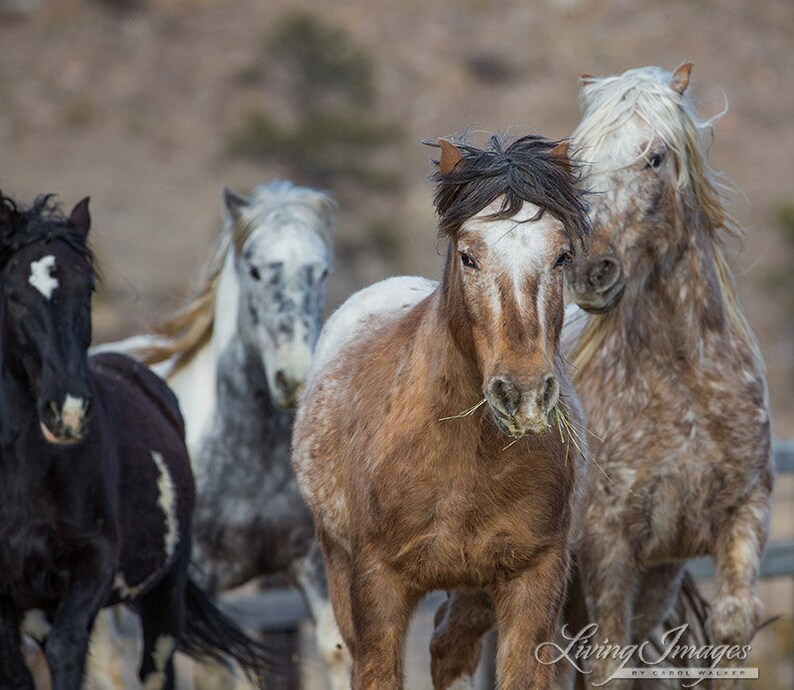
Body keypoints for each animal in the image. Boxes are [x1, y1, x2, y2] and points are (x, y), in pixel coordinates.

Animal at [0, 192, 275, 690]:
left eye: (87, 288)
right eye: (13, 295)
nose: (68, 410)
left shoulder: (93, 565)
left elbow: (68, 650)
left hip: (163, 595)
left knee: (154, 670)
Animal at [291, 134, 592, 690]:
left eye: (562, 255)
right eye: (468, 256)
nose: (522, 394)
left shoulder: (533, 583)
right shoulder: (377, 589)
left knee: (448, 649)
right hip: (338, 566)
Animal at [559, 64, 774, 688]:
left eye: (655, 157)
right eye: (575, 156)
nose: (590, 269)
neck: (684, 380)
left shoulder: (744, 512)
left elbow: (732, 625)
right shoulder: (607, 543)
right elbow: (609, 665)